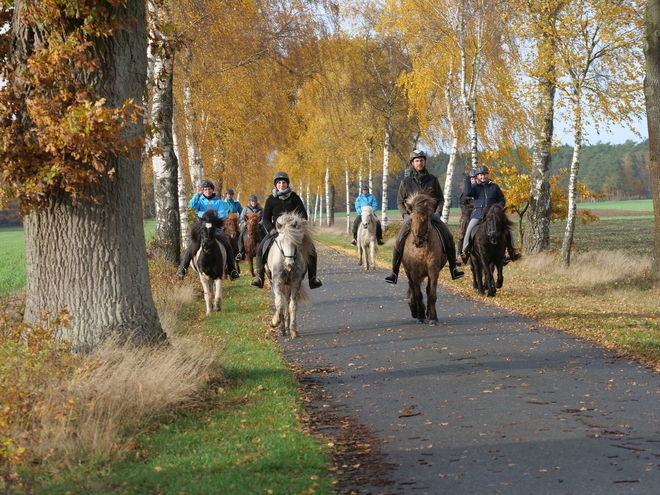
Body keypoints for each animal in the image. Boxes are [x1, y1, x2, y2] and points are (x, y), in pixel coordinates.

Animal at [264, 211, 314, 340]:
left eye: (296, 242)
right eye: (281, 241)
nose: (289, 263)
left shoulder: (295, 283)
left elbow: (292, 305)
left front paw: (293, 330)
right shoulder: (277, 282)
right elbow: (279, 303)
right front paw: (276, 323)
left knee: (286, 301)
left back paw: (286, 326)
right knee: (281, 301)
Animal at [400, 193, 446, 326]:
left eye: (424, 220)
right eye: (410, 220)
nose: (417, 242)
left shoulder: (433, 271)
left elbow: (431, 294)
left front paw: (433, 318)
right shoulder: (414, 272)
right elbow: (418, 294)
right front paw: (420, 316)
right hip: (408, 272)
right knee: (412, 288)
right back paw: (415, 310)